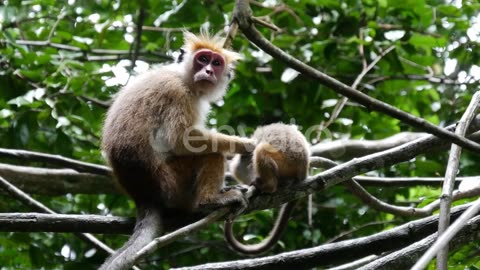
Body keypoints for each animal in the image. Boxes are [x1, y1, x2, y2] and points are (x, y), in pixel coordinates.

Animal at [101, 30, 255, 268]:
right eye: (203, 59)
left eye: (216, 63)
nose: (208, 71)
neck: (183, 77)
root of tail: (144, 194)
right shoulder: (178, 92)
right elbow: (180, 140)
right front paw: (244, 144)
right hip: (173, 186)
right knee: (210, 154)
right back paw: (210, 200)